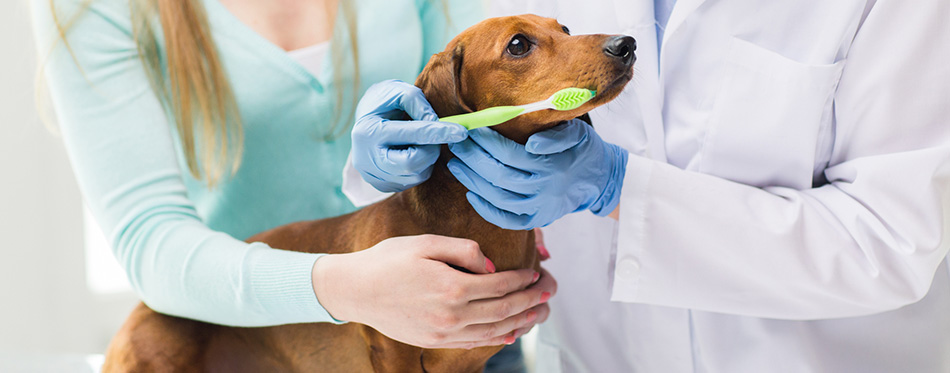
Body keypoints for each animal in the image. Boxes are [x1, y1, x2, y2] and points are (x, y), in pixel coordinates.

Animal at [102, 14, 640, 372]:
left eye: (564, 28)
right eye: (519, 45)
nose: (627, 43)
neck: (473, 227)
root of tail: (141, 307)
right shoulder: (394, 349)